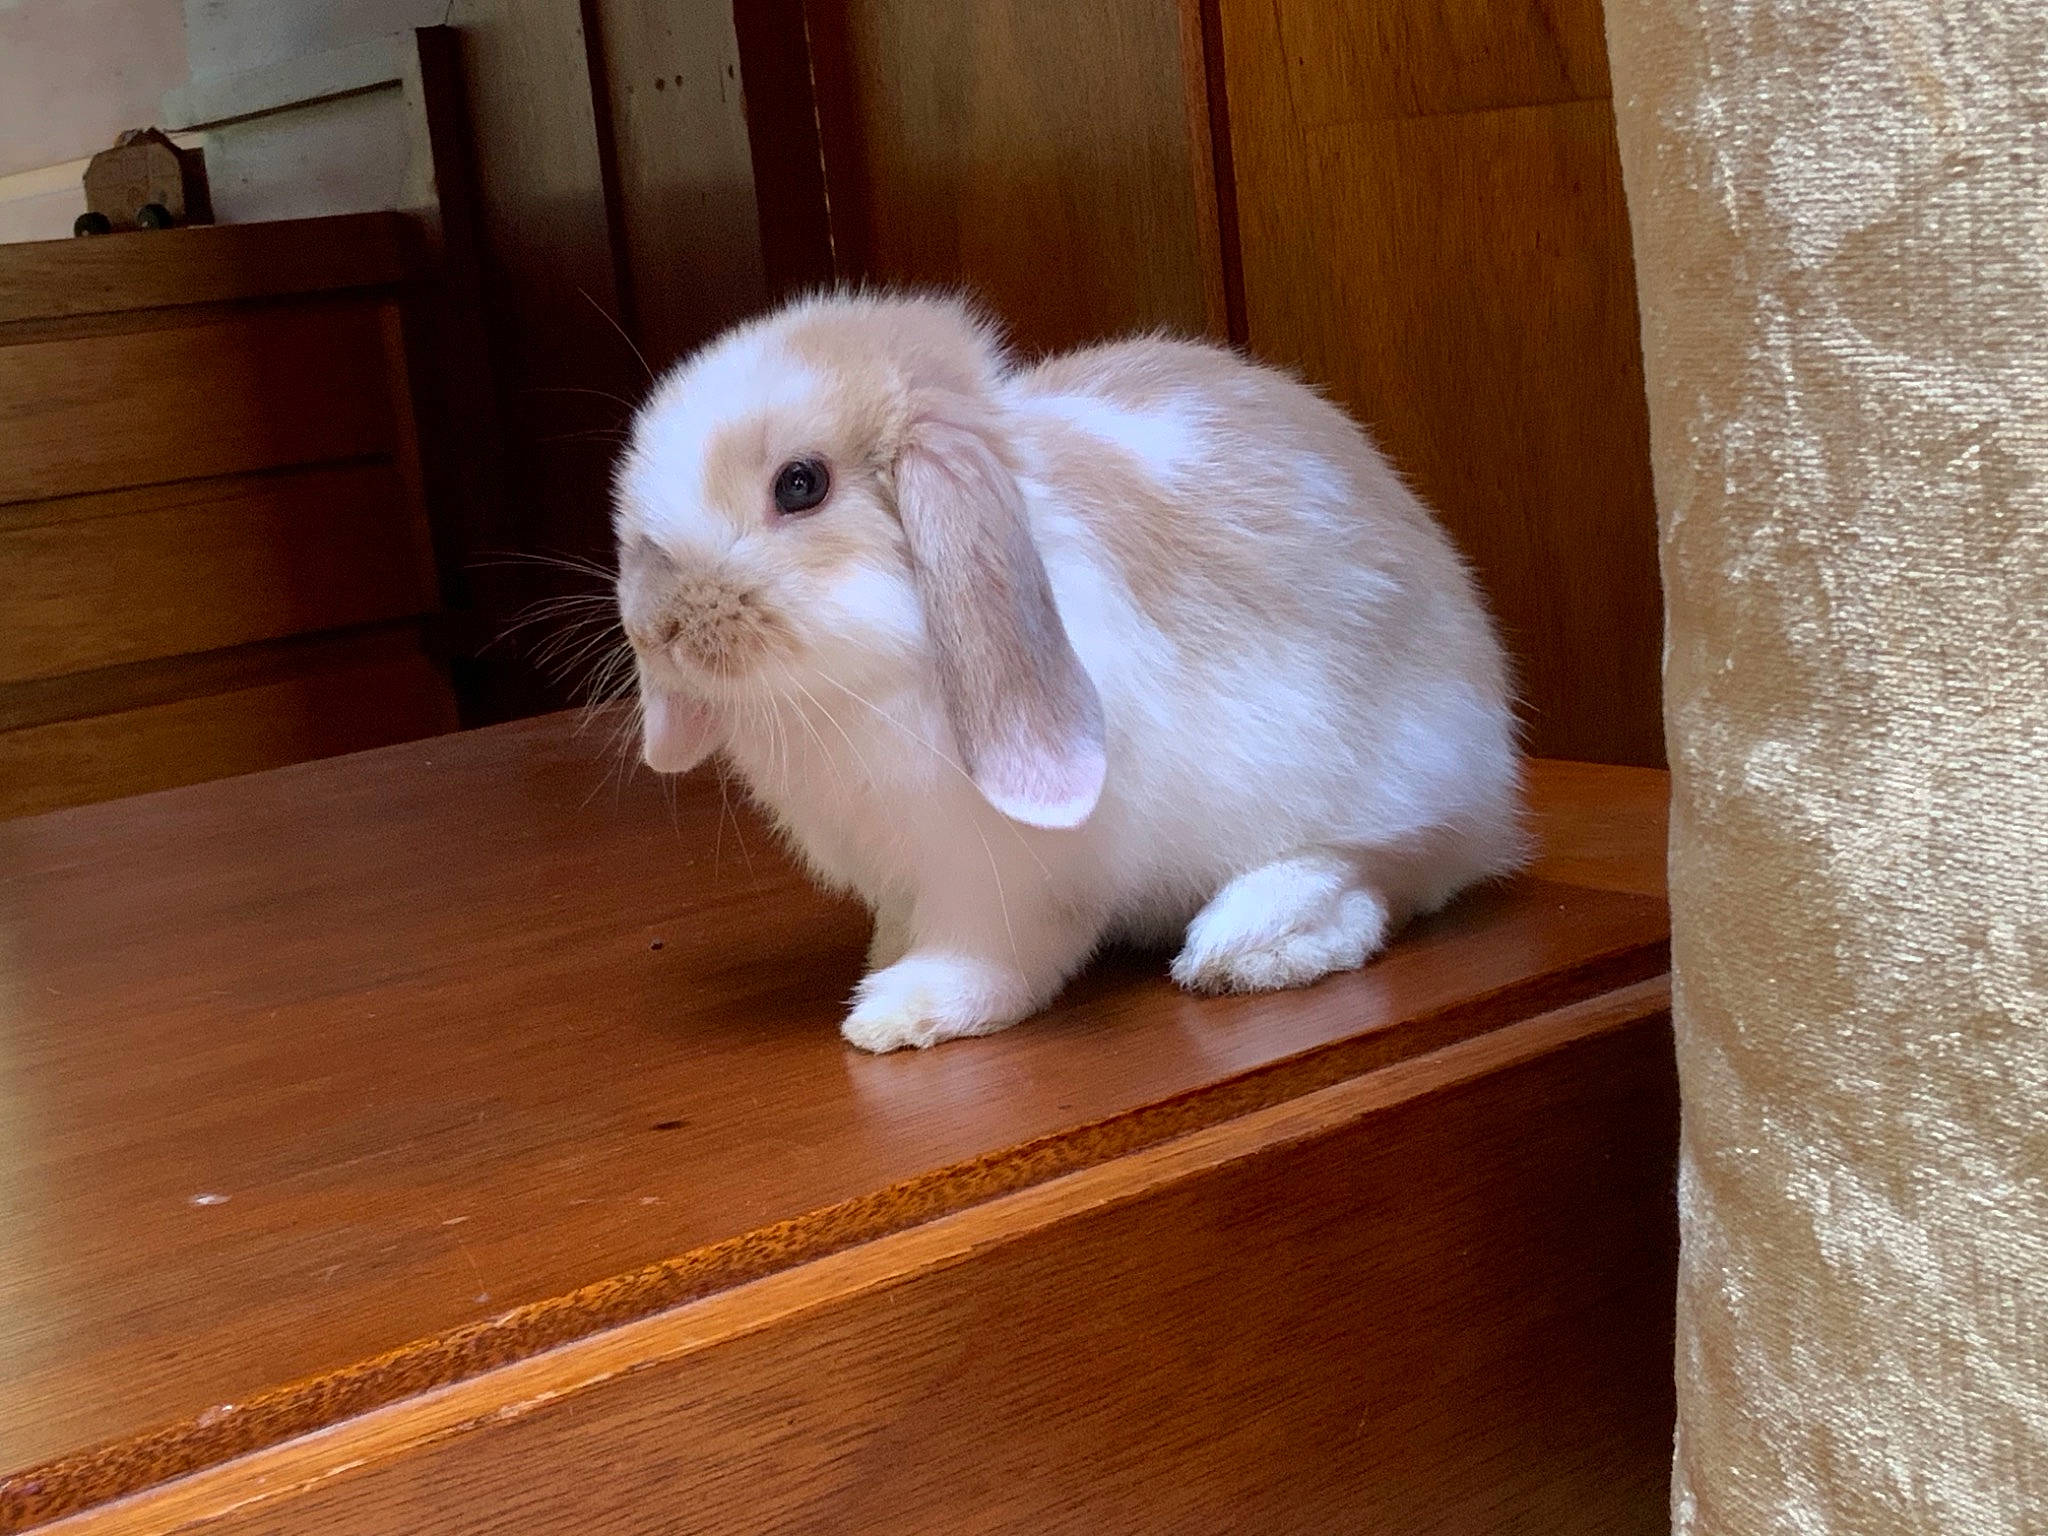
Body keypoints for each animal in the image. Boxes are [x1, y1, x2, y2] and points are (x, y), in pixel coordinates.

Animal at [613, 292, 1528, 1053]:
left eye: (800, 485)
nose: (658, 627)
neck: (855, 682)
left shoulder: (1001, 879)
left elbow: (990, 952)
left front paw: (900, 1010)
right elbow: (902, 921)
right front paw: (882, 964)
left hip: (1385, 777)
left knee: (1378, 878)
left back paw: (1241, 947)